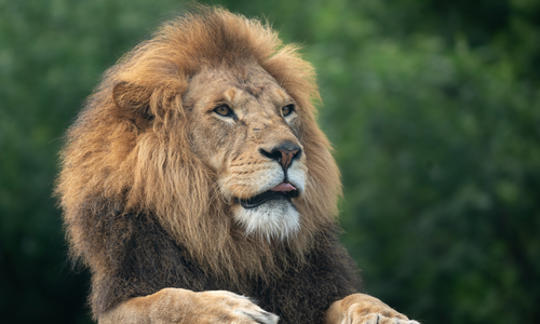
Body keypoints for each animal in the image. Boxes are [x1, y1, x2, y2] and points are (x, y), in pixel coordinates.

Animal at [58, 5, 422, 324]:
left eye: (286, 110)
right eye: (223, 111)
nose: (288, 151)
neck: (237, 249)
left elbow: (356, 298)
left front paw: (385, 316)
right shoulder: (121, 296)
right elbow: (165, 300)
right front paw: (231, 311)